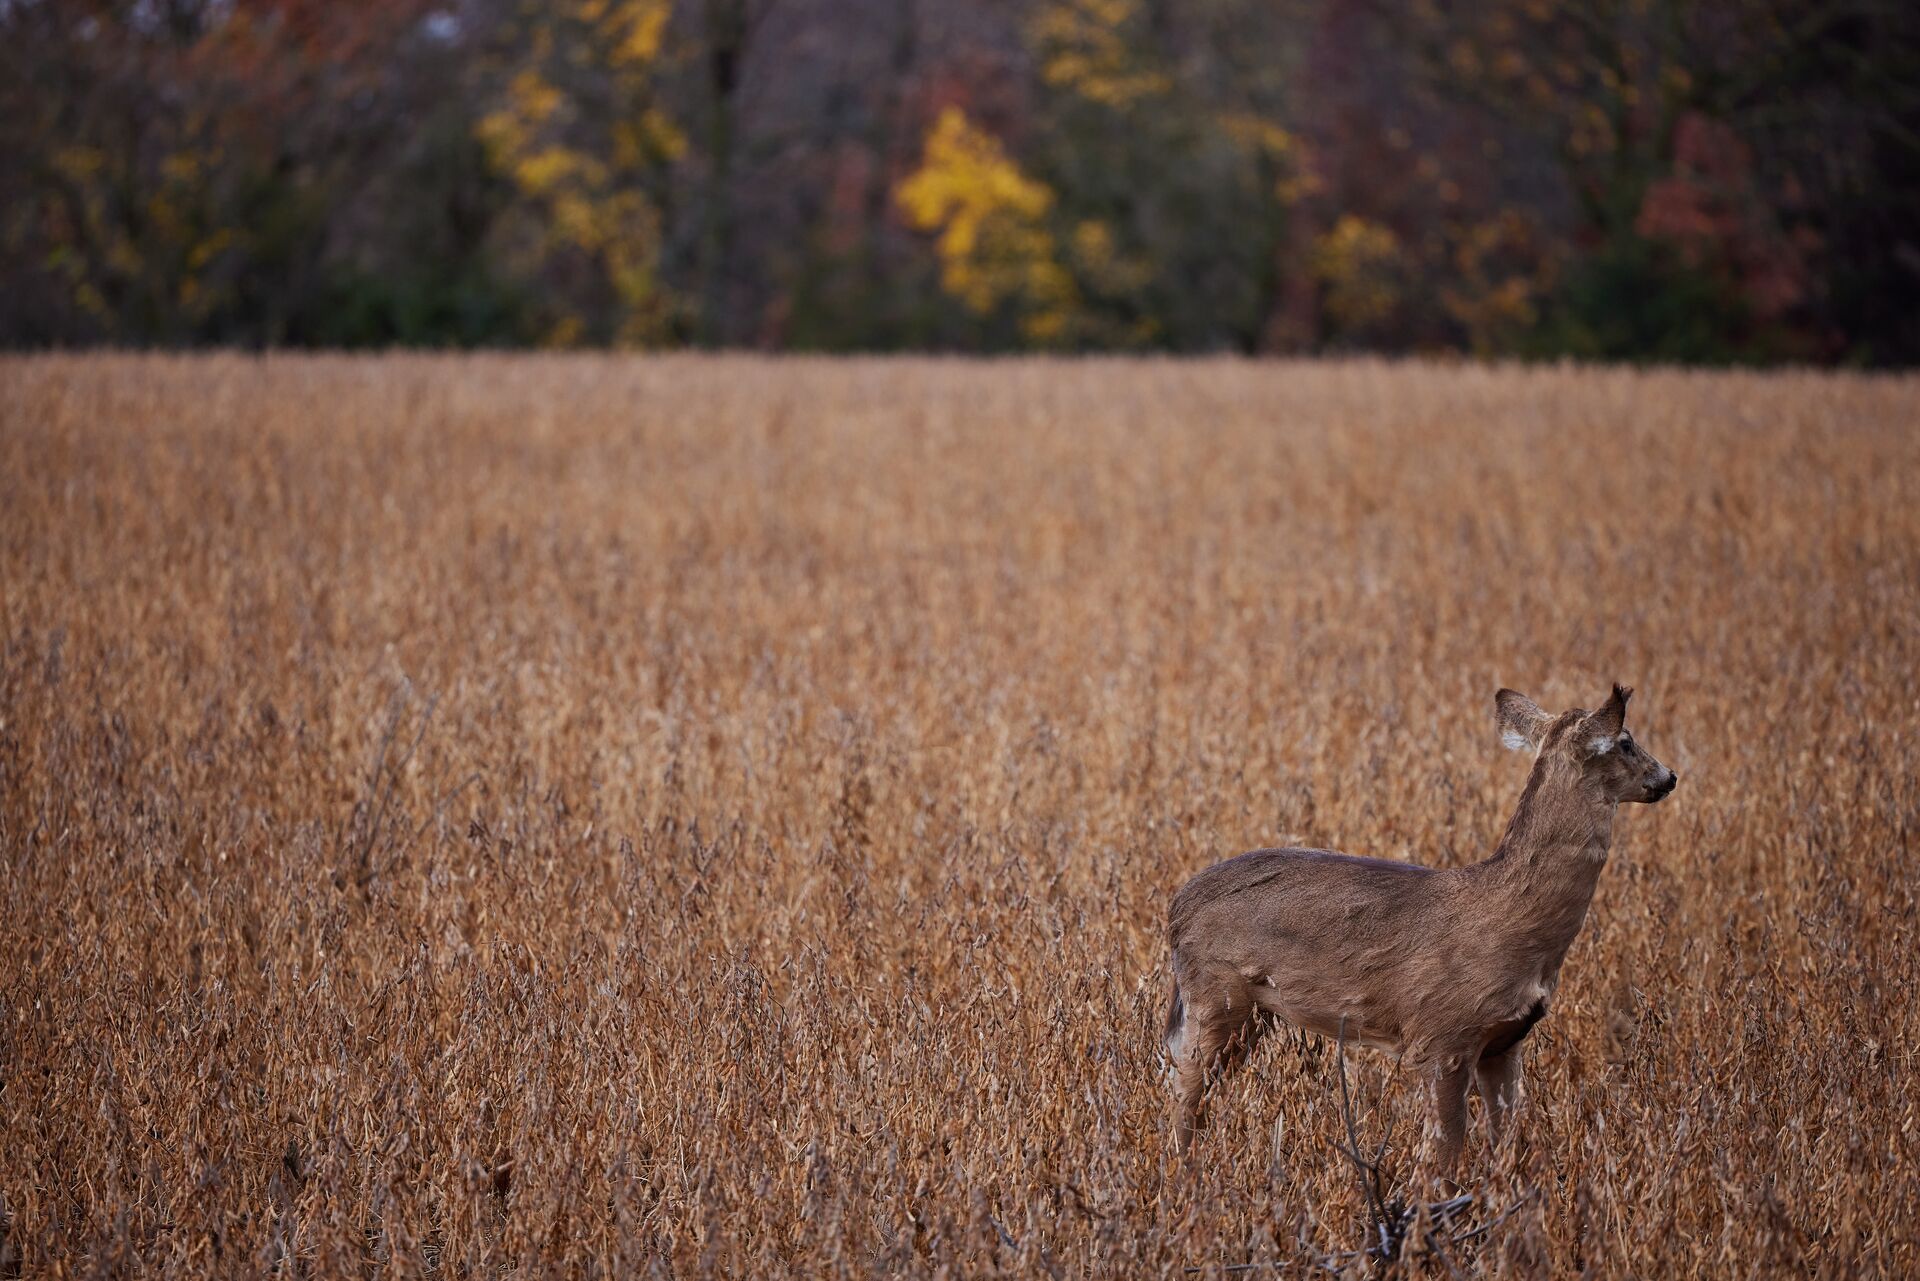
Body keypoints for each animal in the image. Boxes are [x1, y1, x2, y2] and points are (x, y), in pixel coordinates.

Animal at [1163, 684, 1677, 1175]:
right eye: (1626, 742)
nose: (1669, 776)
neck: (1514, 920)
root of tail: (1176, 908)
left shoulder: (1506, 1041)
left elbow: (1510, 1149)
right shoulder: (1442, 1036)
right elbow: (1442, 1161)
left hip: (1250, 1012)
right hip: (1215, 998)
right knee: (1182, 1096)